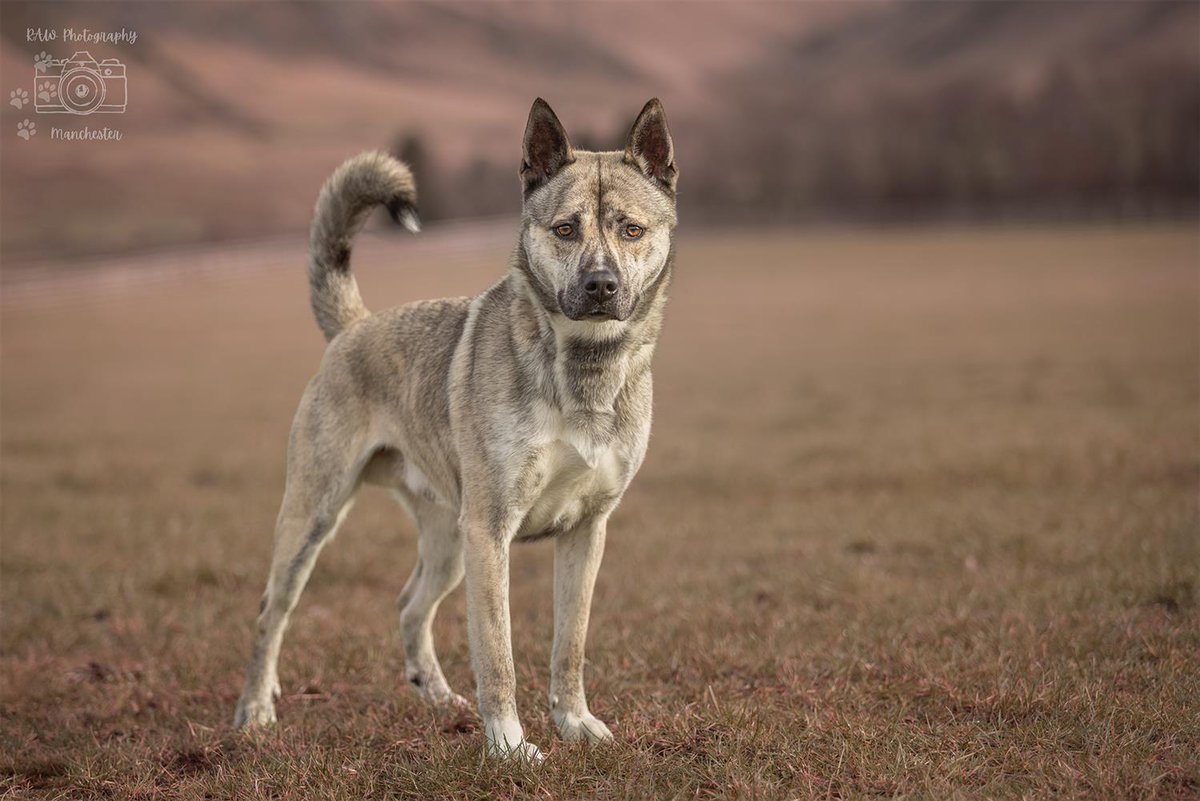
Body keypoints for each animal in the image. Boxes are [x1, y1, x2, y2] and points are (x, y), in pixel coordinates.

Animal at [234, 97, 676, 762]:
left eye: (631, 229)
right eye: (565, 229)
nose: (601, 286)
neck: (580, 366)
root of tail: (352, 327)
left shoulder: (586, 530)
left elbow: (569, 645)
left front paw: (575, 724)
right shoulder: (490, 531)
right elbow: (498, 655)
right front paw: (510, 748)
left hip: (448, 542)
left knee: (409, 606)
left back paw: (438, 697)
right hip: (316, 518)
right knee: (271, 611)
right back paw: (256, 710)